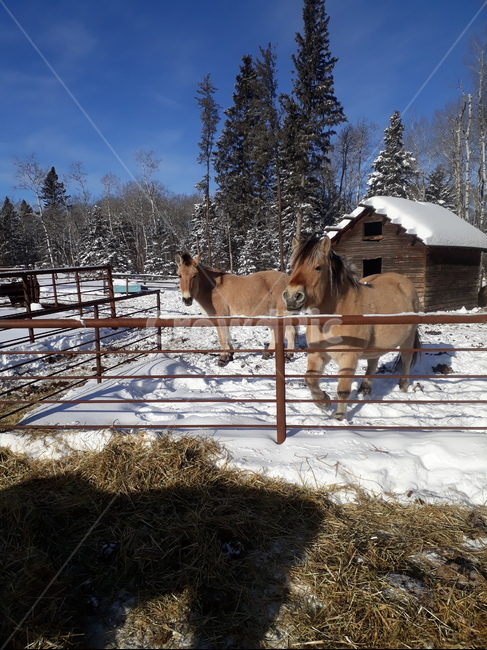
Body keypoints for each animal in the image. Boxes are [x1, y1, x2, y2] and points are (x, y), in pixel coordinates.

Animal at [282, 236, 421, 421]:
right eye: (293, 266)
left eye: (318, 267)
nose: (292, 297)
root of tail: (404, 281)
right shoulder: (317, 353)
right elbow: (309, 378)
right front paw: (323, 401)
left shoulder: (348, 358)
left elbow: (342, 389)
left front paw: (340, 417)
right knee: (373, 362)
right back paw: (365, 389)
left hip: (408, 337)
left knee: (406, 358)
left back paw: (403, 386)